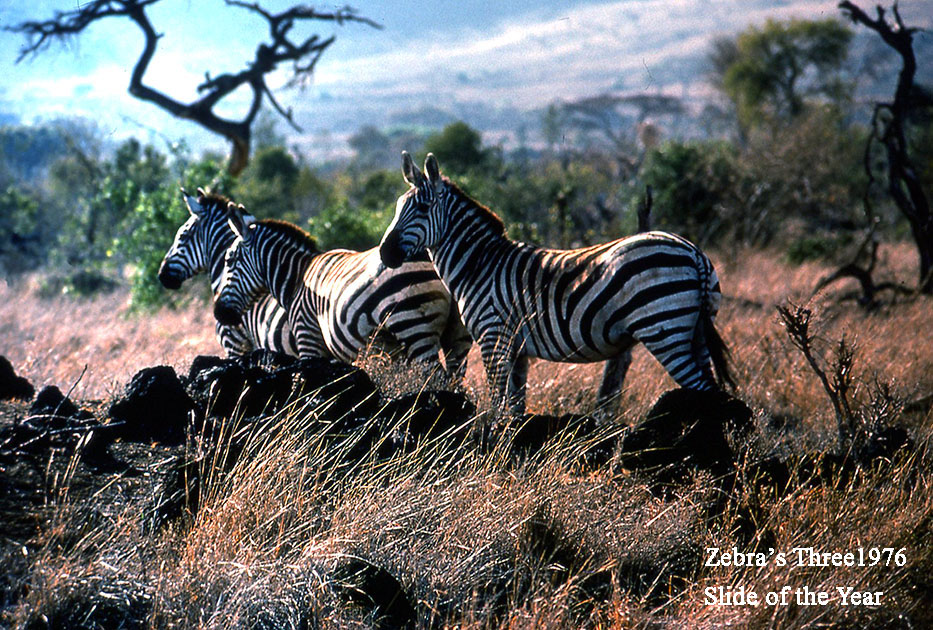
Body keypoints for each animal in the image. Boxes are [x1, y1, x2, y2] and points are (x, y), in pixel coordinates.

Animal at [213, 203, 472, 380]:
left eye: (229, 260)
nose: (218, 313)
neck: (296, 280)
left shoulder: (308, 340)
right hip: (456, 334)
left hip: (414, 326)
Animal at [379, 152, 734, 416]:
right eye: (396, 207)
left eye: (422, 207)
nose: (384, 253)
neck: (478, 265)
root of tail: (693, 251)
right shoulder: (517, 348)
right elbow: (514, 408)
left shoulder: (494, 337)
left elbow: (497, 406)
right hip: (695, 331)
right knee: (715, 393)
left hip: (666, 331)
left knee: (704, 392)